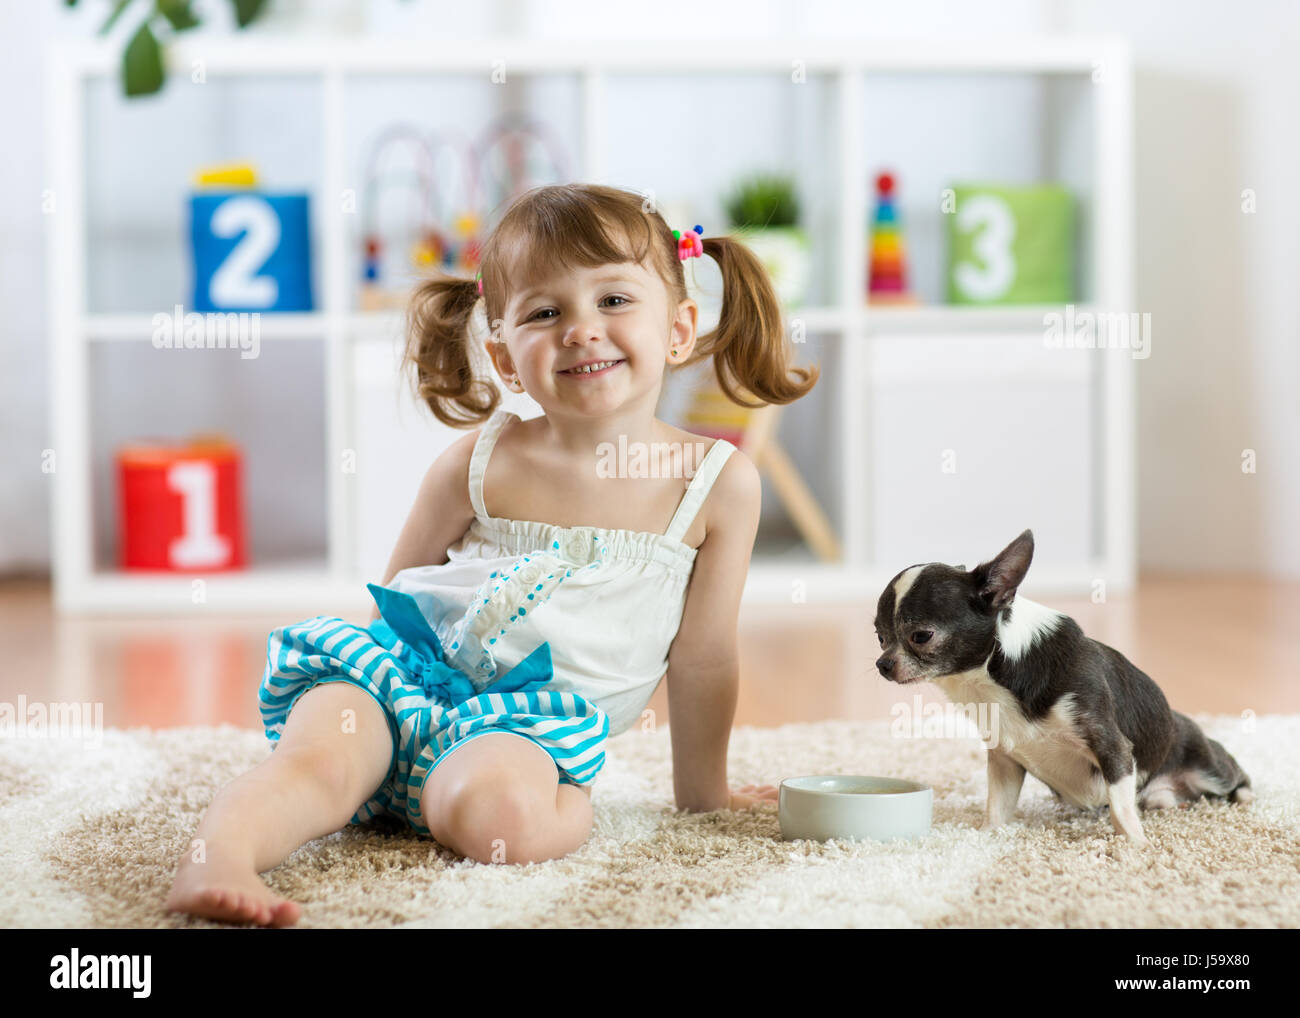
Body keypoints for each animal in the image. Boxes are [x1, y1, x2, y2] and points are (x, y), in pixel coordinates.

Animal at [873, 530, 1248, 847]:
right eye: (879, 636)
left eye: (921, 635)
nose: (882, 664)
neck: (991, 678)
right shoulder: (1005, 760)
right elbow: (997, 805)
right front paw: (989, 835)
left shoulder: (1112, 746)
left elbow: (1120, 807)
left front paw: (1136, 845)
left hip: (1209, 767)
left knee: (1236, 778)